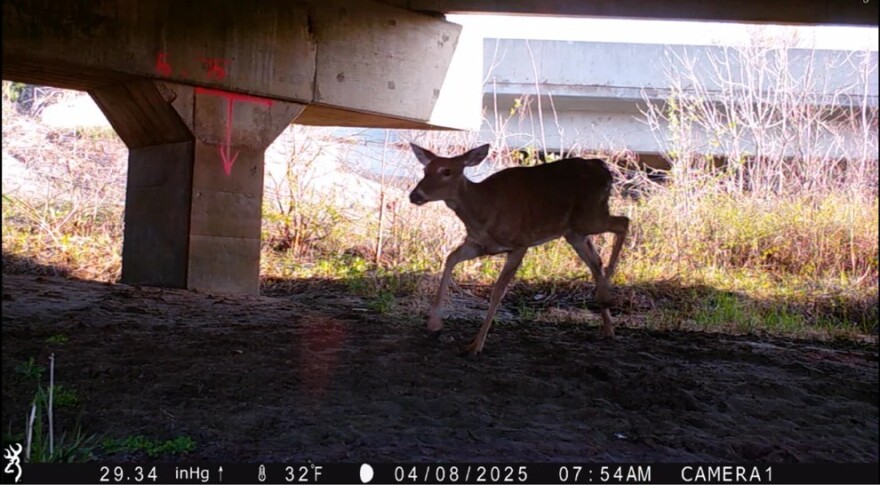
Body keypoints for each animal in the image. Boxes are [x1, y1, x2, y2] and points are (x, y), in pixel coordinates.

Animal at [408, 143, 629, 355]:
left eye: (447, 171)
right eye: (425, 169)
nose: (414, 195)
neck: (483, 211)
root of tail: (603, 167)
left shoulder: (519, 244)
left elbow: (498, 291)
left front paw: (475, 346)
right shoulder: (477, 245)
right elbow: (449, 260)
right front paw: (434, 325)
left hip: (590, 216)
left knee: (623, 222)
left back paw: (607, 296)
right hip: (574, 231)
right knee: (595, 260)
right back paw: (608, 324)